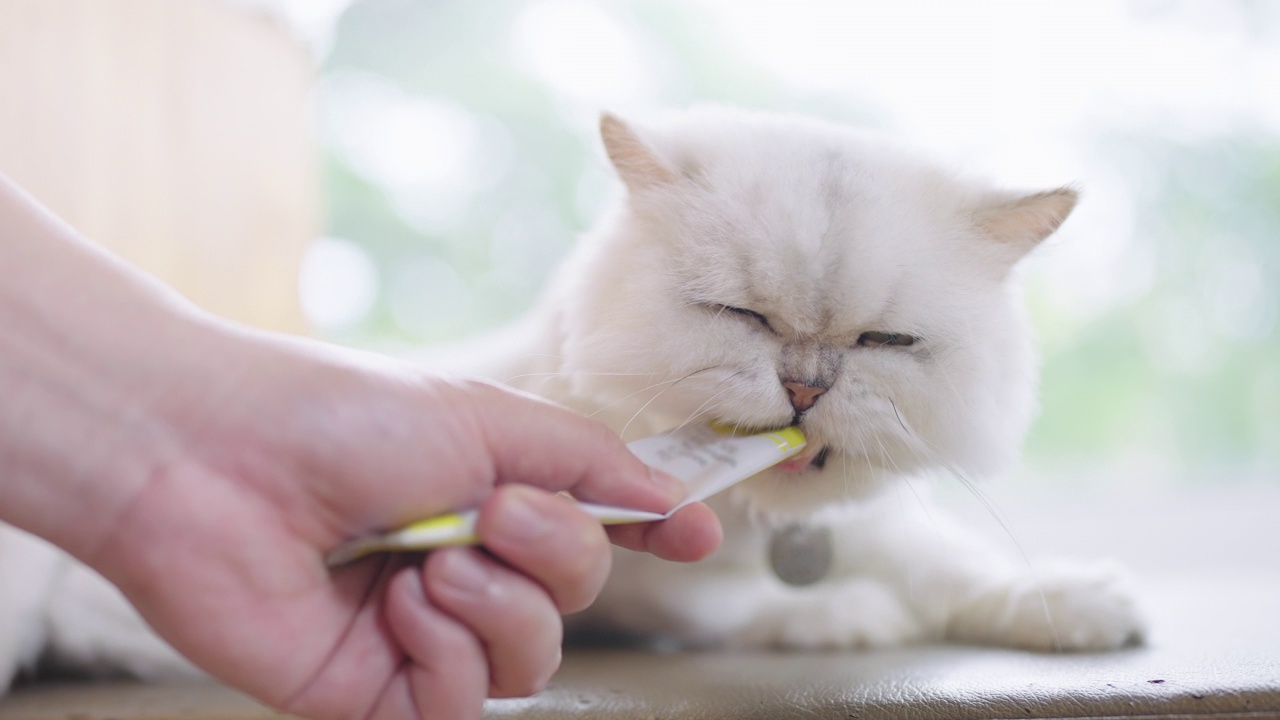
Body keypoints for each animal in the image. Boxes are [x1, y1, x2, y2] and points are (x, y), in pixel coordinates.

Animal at [0, 106, 1146, 691]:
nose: (804, 387)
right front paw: (835, 620)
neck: (760, 525)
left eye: (881, 343)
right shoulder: (636, 586)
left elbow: (957, 562)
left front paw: (1077, 605)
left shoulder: (871, 527)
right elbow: (740, 609)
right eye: (741, 317)